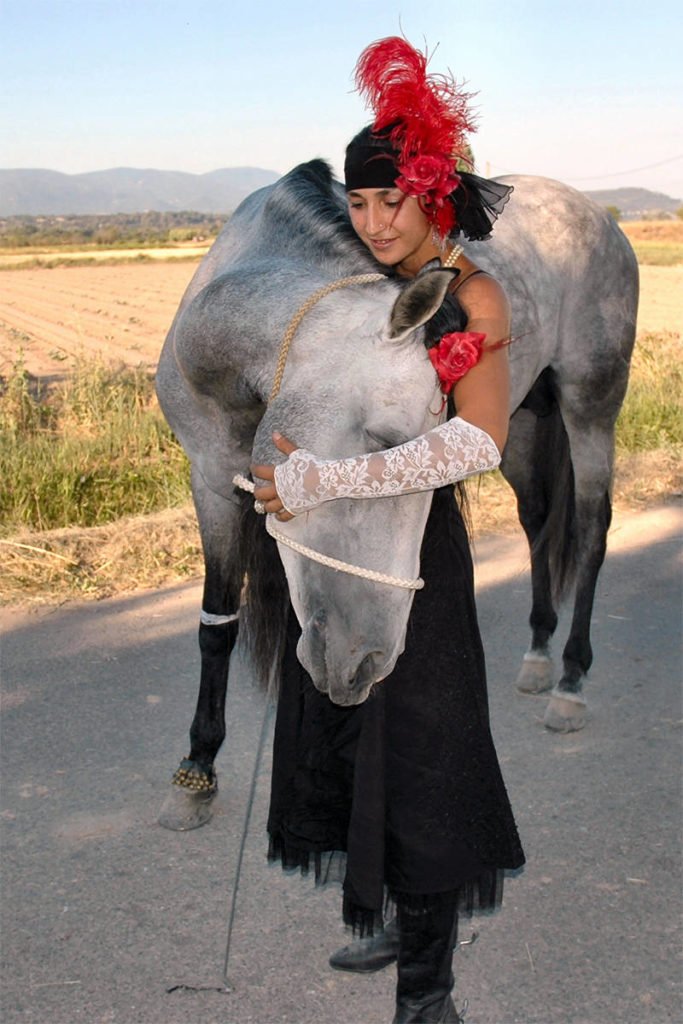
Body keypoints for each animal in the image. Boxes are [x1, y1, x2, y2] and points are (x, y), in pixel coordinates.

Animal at [154, 157, 634, 831]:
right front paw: (197, 769)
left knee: (590, 534)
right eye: (387, 444)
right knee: (538, 522)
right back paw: (539, 655)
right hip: (523, 425)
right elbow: (215, 625)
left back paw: (569, 681)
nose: (365, 664)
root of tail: (595, 214)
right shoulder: (209, 482)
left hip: (592, 404)